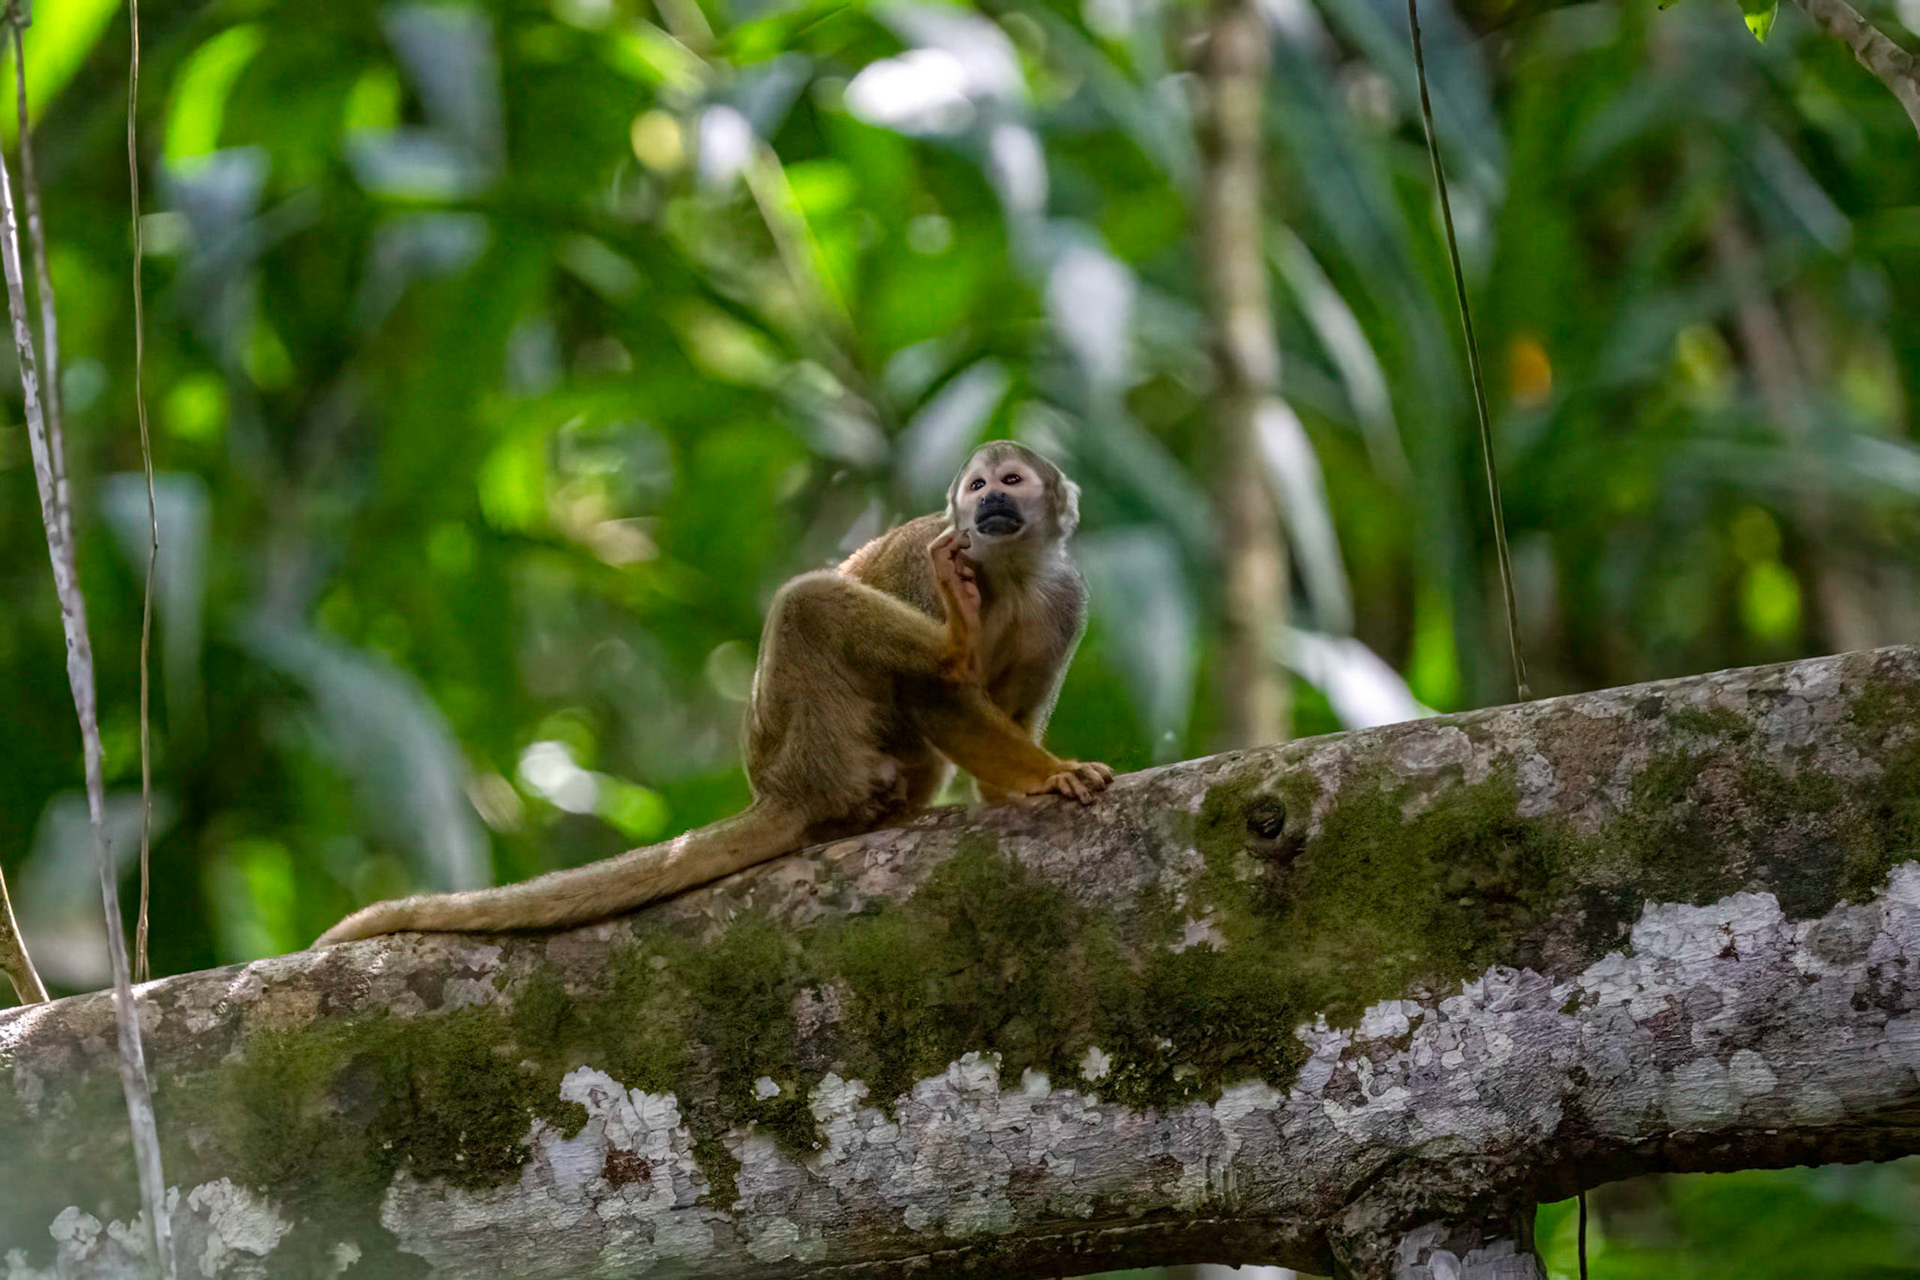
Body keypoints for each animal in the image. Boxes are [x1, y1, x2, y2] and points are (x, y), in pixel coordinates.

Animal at [317, 441, 1112, 945]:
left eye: (1012, 481)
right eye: (977, 488)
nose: (990, 503)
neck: (1008, 569)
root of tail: (780, 788)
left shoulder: (1068, 601)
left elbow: (1016, 705)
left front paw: (1012, 789)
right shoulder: (932, 554)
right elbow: (935, 698)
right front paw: (1048, 774)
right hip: (811, 738)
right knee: (808, 605)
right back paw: (948, 646)